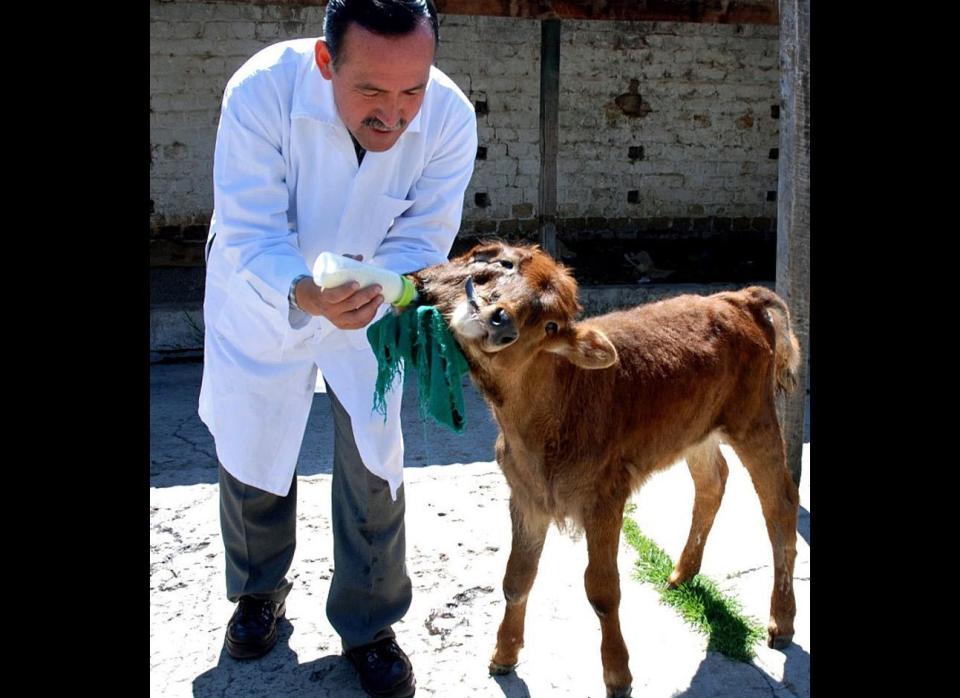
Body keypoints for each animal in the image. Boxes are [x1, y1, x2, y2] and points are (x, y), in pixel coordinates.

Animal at [412, 241, 804, 696]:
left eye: (549, 325)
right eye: (503, 264)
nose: (500, 321)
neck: (560, 400)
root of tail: (736, 298)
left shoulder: (604, 497)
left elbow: (602, 590)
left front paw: (618, 675)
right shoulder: (526, 497)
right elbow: (516, 578)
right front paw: (503, 656)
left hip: (754, 418)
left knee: (780, 504)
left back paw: (781, 621)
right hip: (696, 431)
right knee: (713, 481)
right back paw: (681, 573)